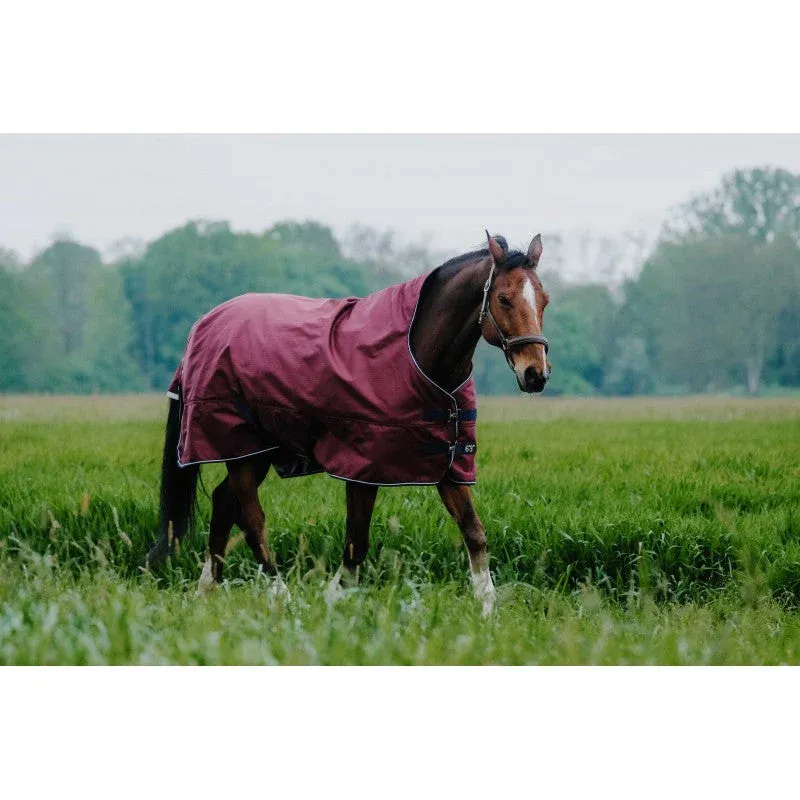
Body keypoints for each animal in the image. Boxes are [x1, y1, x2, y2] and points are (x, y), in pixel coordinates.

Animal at [146, 231, 550, 615]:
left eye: (544, 299)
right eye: (504, 299)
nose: (536, 374)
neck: (419, 357)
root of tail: (204, 323)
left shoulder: (447, 462)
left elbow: (474, 532)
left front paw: (487, 609)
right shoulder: (362, 467)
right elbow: (357, 544)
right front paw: (332, 602)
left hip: (255, 450)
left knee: (223, 504)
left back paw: (205, 592)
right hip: (242, 448)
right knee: (251, 520)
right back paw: (281, 596)